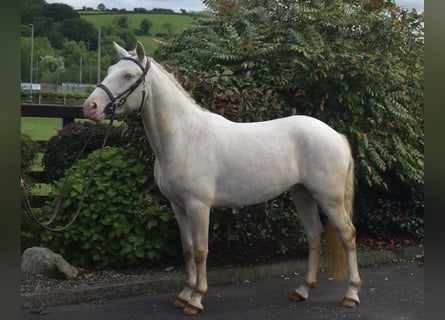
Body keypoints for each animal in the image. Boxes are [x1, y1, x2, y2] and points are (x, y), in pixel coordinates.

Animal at [82, 42, 360, 316]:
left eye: (128, 76)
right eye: (110, 70)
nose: (90, 107)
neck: (184, 137)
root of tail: (335, 134)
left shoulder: (198, 206)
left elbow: (200, 251)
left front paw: (196, 299)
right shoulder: (178, 206)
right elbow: (187, 249)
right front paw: (184, 294)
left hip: (329, 198)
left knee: (348, 235)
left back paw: (351, 294)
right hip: (302, 193)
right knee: (314, 235)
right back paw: (302, 290)